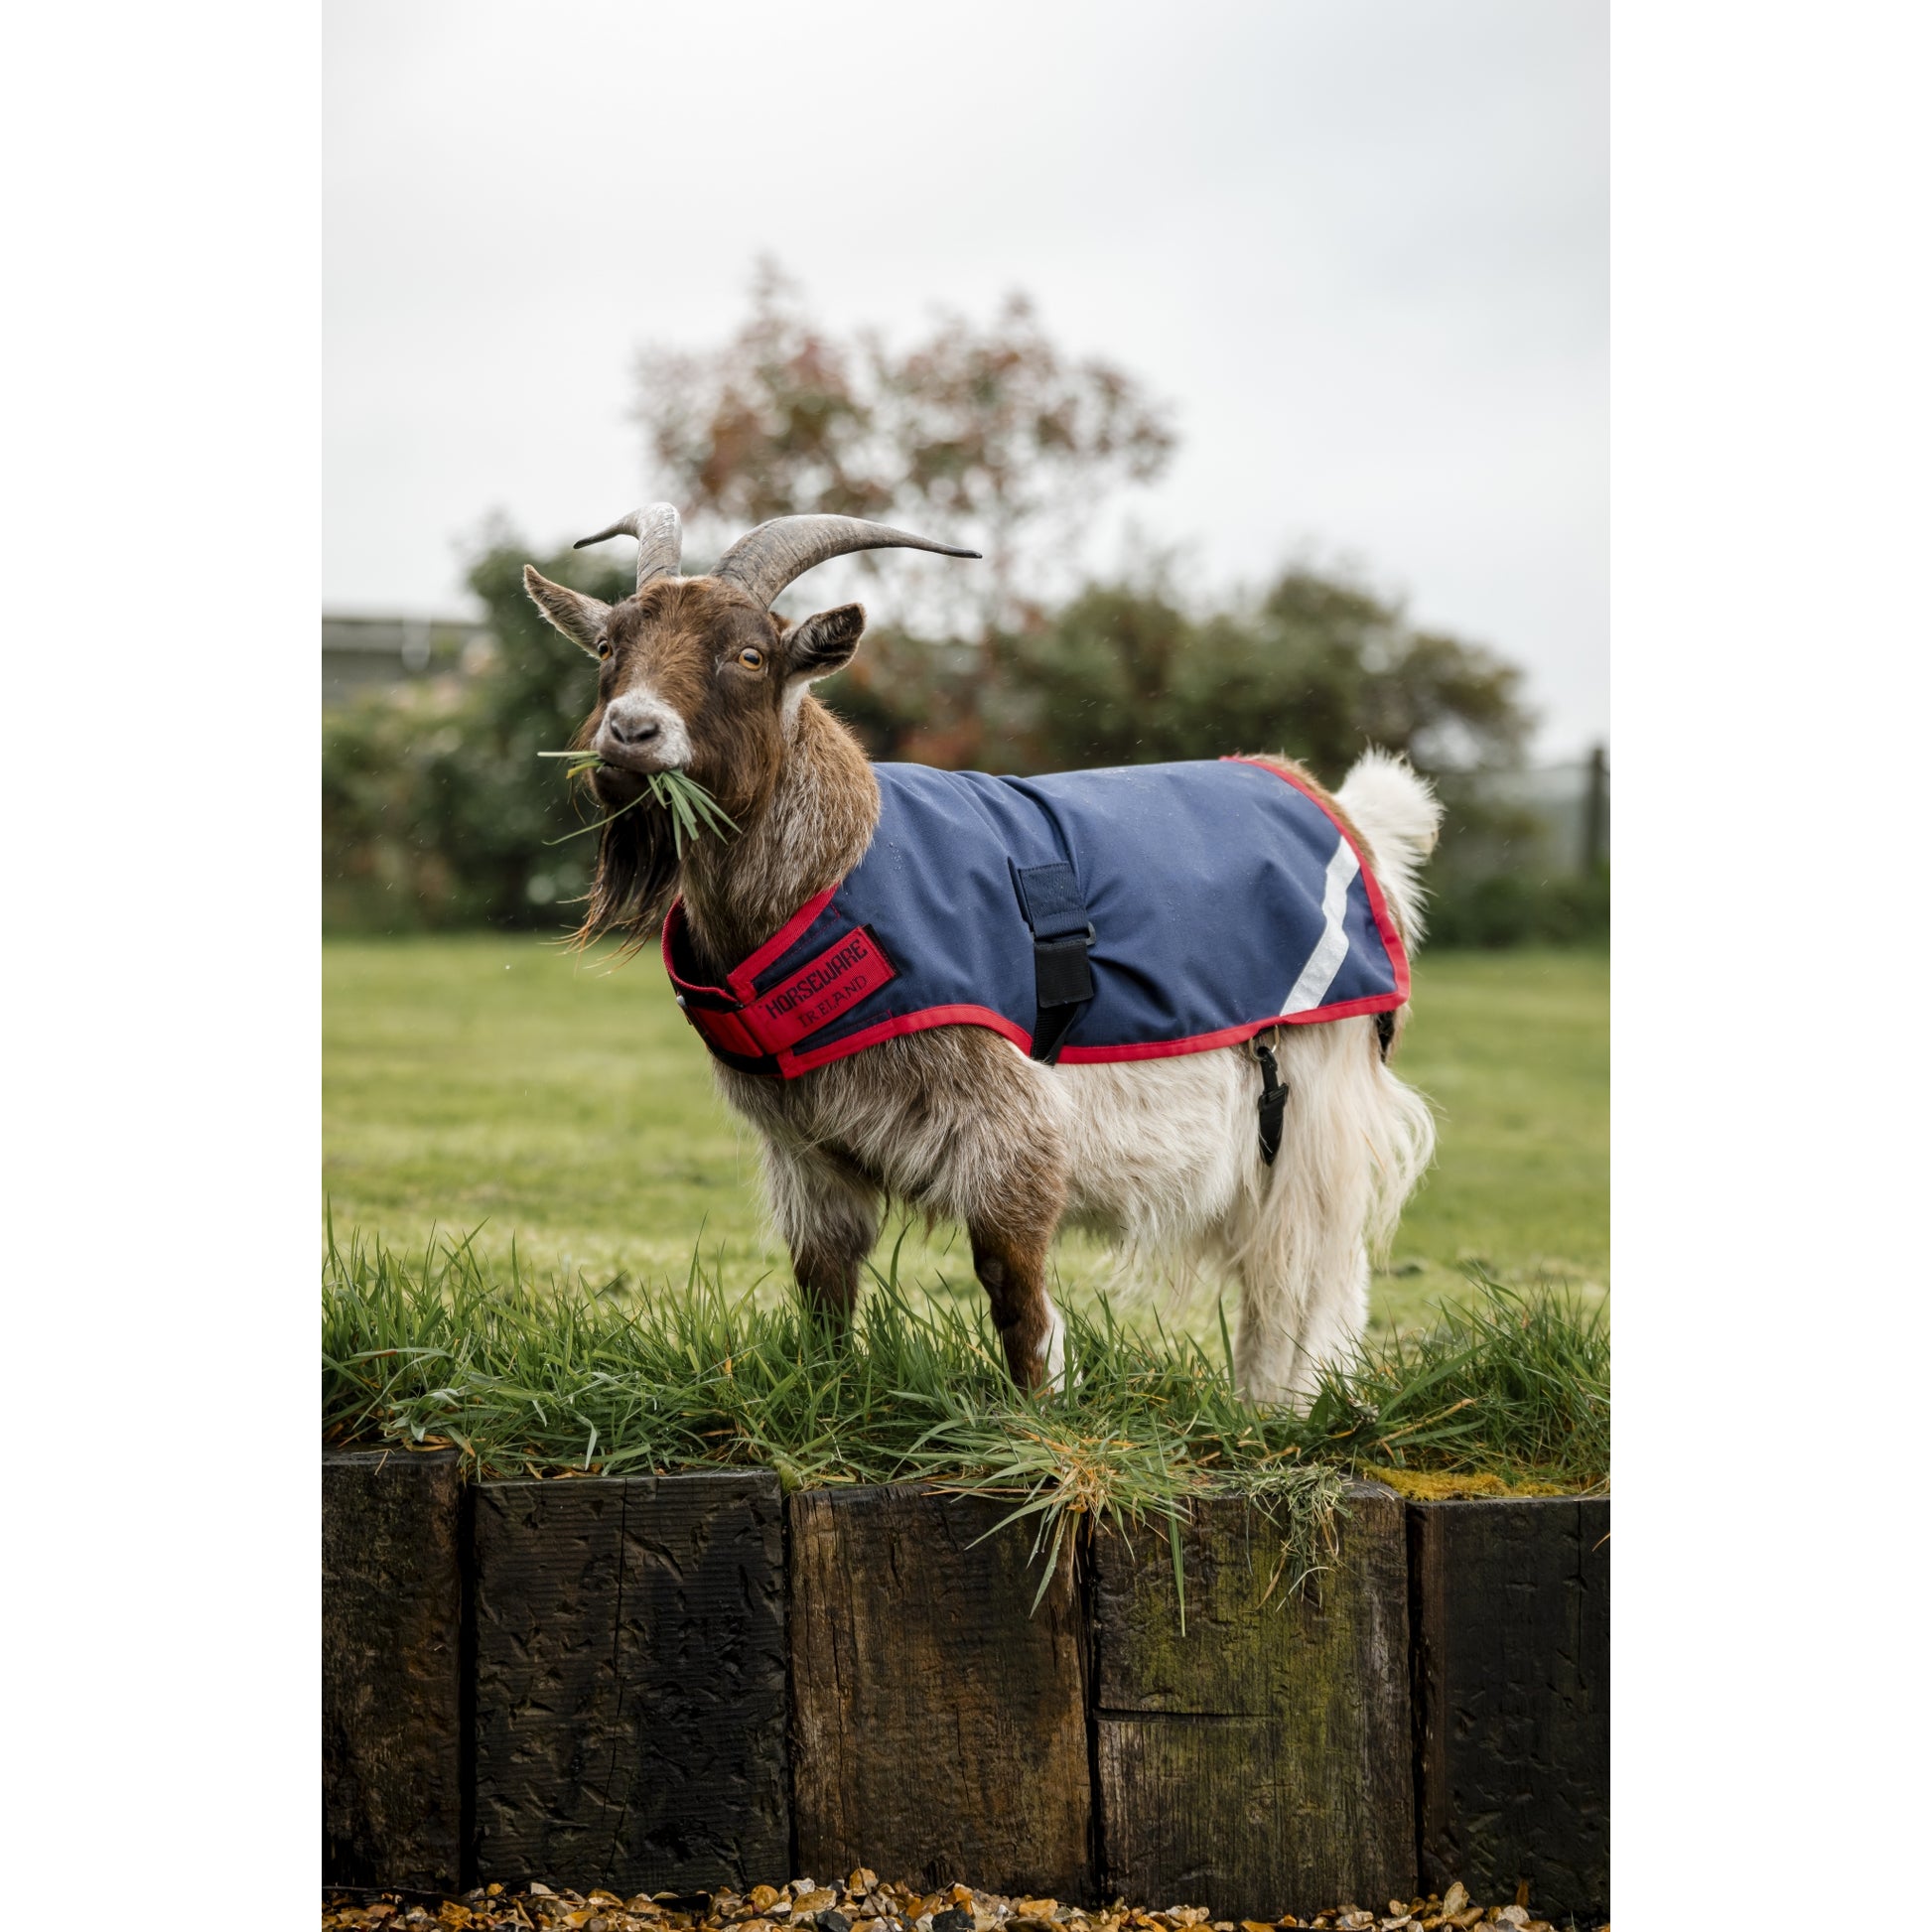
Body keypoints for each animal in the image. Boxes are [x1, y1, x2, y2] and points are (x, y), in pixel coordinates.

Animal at [523, 506, 1438, 1404]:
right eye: (608, 647)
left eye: (750, 655)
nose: (631, 730)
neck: (836, 871)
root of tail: (1343, 811)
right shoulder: (808, 1148)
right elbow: (823, 1284)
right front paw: (826, 1399)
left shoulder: (1008, 1122)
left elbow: (1012, 1285)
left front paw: (1036, 1417)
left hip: (1316, 1099)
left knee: (1307, 1271)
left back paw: (1275, 1413)